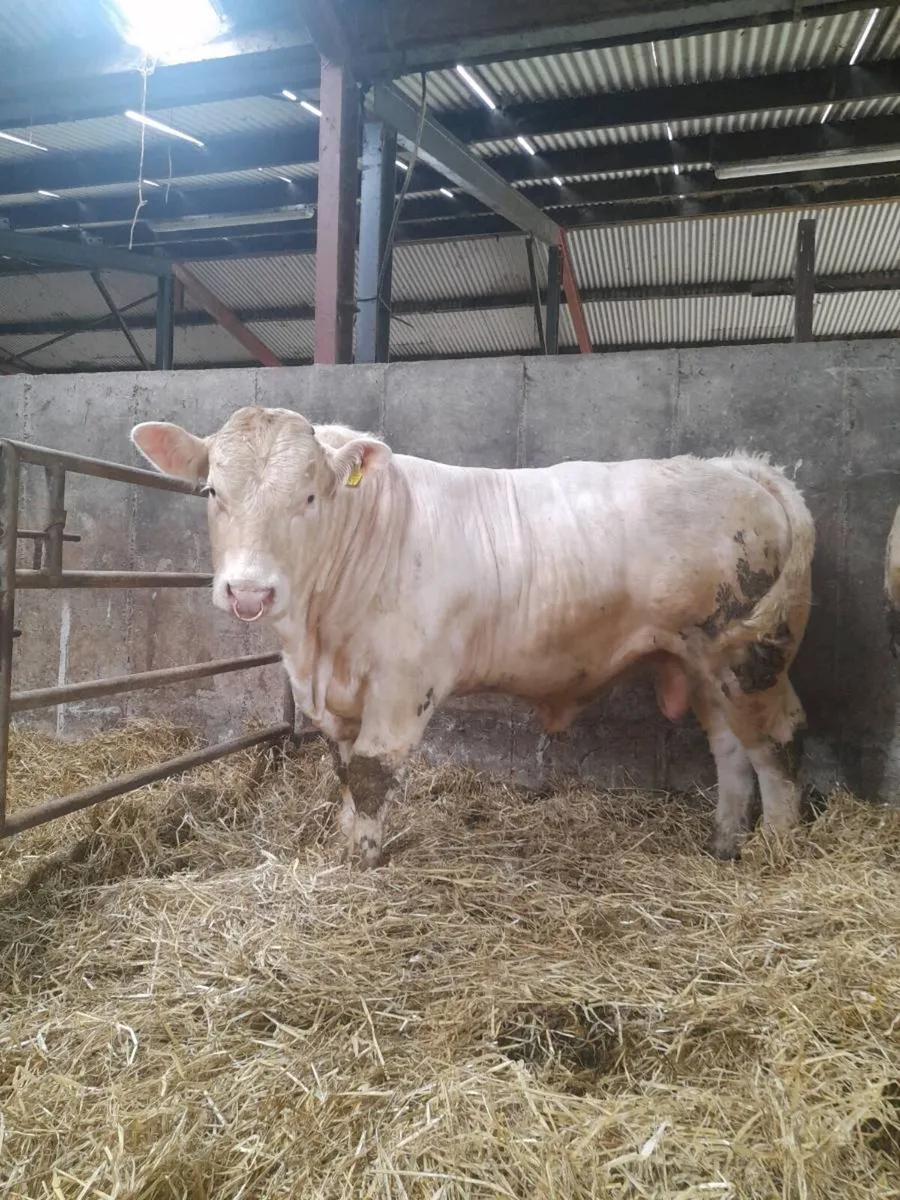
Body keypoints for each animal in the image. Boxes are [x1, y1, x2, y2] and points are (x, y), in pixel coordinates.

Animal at [131, 406, 815, 867]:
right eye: (212, 490)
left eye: (309, 496)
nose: (249, 591)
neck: (317, 645)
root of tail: (741, 469)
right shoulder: (338, 698)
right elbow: (346, 770)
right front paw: (348, 843)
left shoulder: (404, 683)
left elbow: (372, 772)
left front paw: (362, 860)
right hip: (701, 663)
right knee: (730, 747)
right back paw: (724, 843)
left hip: (749, 654)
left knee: (773, 742)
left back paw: (778, 850)